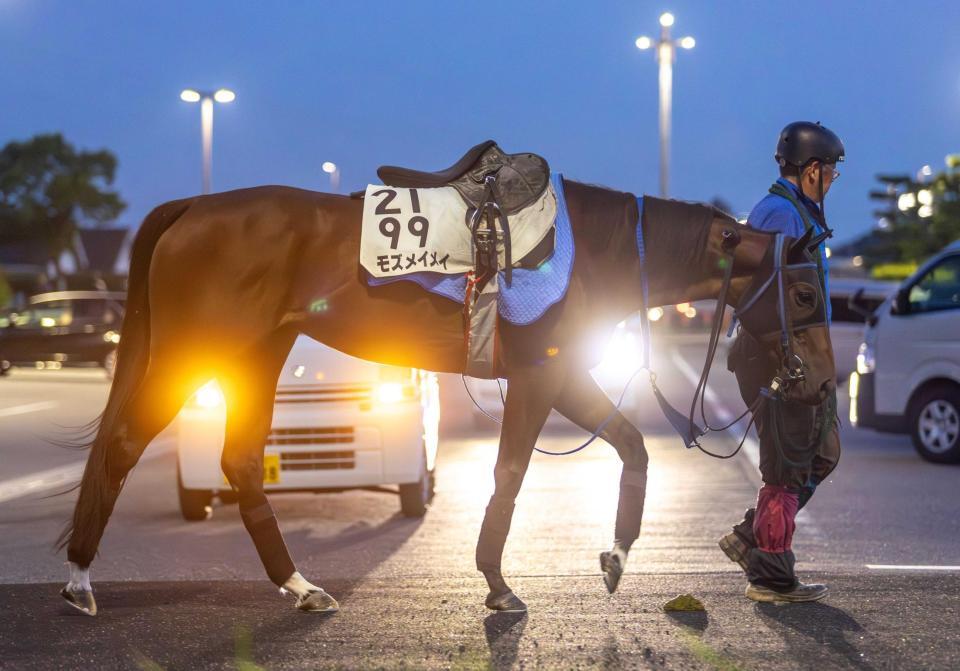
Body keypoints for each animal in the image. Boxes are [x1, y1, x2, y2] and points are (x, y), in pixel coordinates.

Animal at [58, 176, 832, 616]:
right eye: (801, 293)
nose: (821, 378)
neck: (586, 249)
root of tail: (194, 207)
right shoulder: (538, 377)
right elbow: (511, 474)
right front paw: (498, 582)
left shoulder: (562, 374)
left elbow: (634, 446)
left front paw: (614, 555)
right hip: (197, 350)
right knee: (124, 442)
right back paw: (79, 581)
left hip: (258, 353)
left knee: (243, 460)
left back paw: (300, 586)